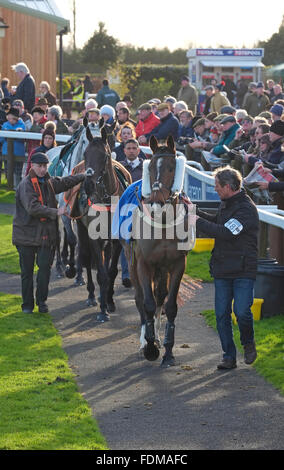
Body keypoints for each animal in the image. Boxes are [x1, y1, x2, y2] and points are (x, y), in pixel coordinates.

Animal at [76, 125, 133, 324]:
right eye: (85, 153)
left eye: (104, 155)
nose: (88, 185)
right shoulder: (94, 237)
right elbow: (101, 273)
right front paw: (102, 311)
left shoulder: (117, 239)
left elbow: (111, 271)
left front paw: (109, 301)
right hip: (82, 231)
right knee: (86, 258)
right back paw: (92, 296)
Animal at [122, 134, 195, 370]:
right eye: (152, 167)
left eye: (172, 167)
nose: (156, 203)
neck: (163, 224)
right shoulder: (143, 263)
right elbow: (146, 302)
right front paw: (150, 346)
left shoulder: (177, 263)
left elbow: (169, 305)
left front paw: (168, 351)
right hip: (131, 260)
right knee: (140, 298)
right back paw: (146, 339)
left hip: (162, 269)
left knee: (160, 296)